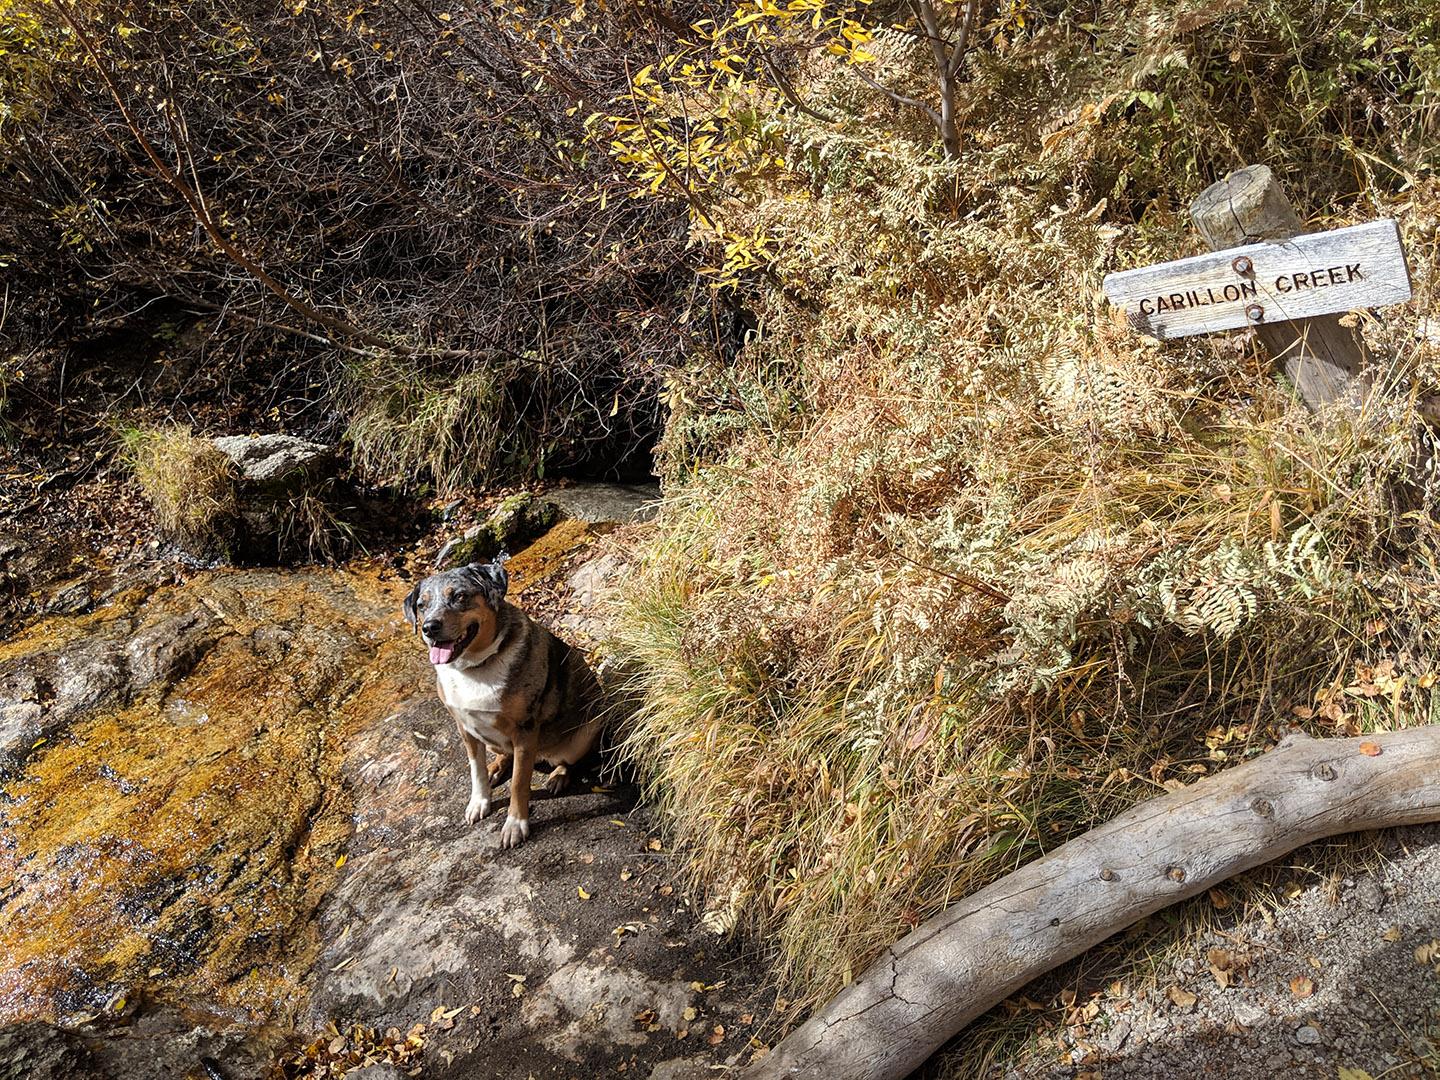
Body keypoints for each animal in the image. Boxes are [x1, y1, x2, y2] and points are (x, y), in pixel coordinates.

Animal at [403, 561, 604, 852]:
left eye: (459, 596)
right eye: (421, 605)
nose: (429, 627)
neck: (475, 667)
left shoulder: (525, 731)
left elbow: (519, 784)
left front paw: (515, 825)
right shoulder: (464, 727)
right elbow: (475, 771)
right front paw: (480, 801)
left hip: (586, 731)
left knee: (570, 759)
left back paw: (558, 775)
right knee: (503, 754)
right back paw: (496, 768)